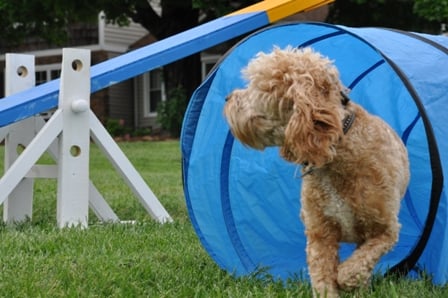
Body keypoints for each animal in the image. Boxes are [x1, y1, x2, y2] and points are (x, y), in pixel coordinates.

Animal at [224, 47, 410, 298]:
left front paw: (346, 279)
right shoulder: (320, 233)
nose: (227, 98)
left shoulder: (385, 231)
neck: (336, 148)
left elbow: (353, 267)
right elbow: (322, 275)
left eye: (259, 85)